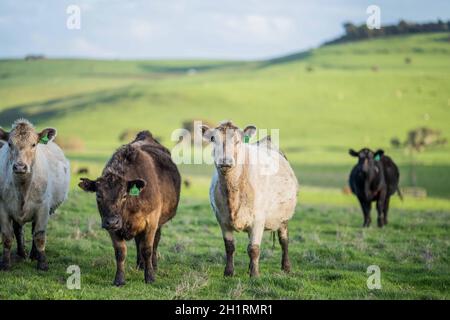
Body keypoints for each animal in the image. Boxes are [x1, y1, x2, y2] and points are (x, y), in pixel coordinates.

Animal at [0, 120, 70, 270]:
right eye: (9, 144)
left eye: (33, 144)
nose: (20, 167)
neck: (22, 188)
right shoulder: (2, 207)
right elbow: (7, 237)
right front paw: (6, 264)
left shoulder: (43, 207)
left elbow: (39, 236)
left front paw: (42, 263)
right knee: (18, 229)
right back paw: (22, 253)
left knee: (33, 231)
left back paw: (33, 255)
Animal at [79, 130, 181, 284]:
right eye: (98, 195)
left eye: (124, 195)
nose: (112, 221)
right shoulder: (112, 228)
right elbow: (120, 252)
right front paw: (119, 279)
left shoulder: (151, 221)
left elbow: (147, 248)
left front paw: (150, 276)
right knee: (139, 241)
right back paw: (140, 265)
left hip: (158, 222)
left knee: (155, 242)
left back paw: (153, 265)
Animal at [201, 121, 298, 276]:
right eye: (212, 139)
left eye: (238, 141)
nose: (225, 161)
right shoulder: (222, 219)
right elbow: (230, 247)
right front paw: (229, 272)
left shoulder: (258, 220)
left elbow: (254, 249)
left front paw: (255, 275)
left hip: (284, 217)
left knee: (284, 240)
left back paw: (286, 267)